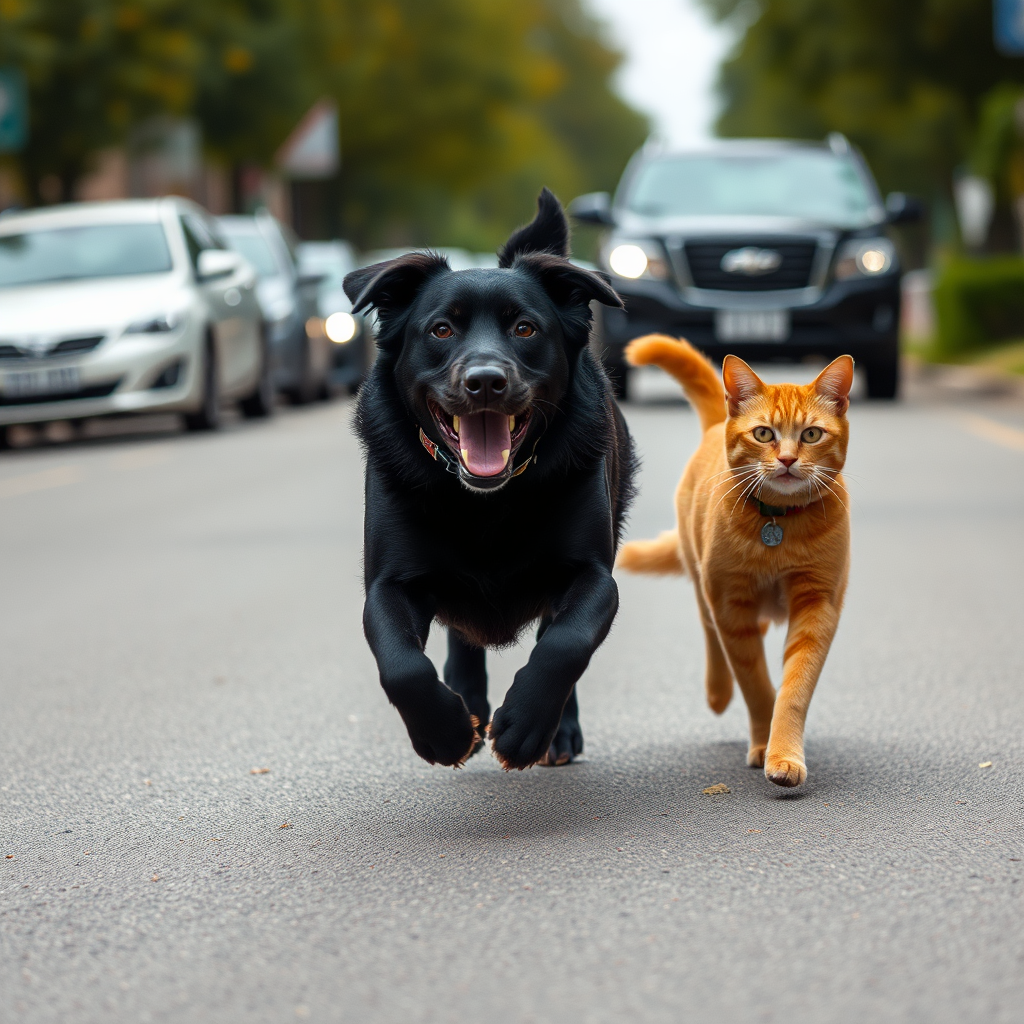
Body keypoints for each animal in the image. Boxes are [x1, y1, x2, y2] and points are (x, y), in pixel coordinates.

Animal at [339, 190, 634, 770]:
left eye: (525, 328)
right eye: (441, 330)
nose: (485, 382)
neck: (487, 502)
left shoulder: (593, 576)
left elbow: (566, 643)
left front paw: (526, 726)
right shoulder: (389, 584)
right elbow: (402, 664)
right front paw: (445, 730)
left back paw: (556, 733)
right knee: (461, 634)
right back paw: (469, 702)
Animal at [618, 333, 851, 782]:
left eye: (811, 435)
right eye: (763, 434)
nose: (787, 459)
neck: (779, 523)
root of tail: (714, 426)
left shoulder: (818, 606)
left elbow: (793, 689)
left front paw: (783, 751)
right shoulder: (730, 604)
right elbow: (756, 685)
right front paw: (764, 744)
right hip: (705, 585)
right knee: (711, 633)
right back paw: (717, 691)